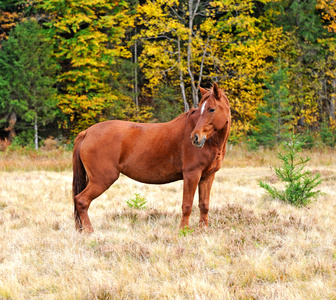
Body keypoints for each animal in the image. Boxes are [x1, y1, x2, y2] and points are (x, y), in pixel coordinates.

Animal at [73, 83, 231, 233]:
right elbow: (187, 205)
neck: (210, 142)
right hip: (102, 180)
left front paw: (203, 230)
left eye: (211, 109)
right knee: (81, 200)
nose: (195, 138)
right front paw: (183, 231)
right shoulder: (192, 174)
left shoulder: (207, 176)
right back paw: (89, 232)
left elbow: (204, 205)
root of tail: (86, 132)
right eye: (201, 110)